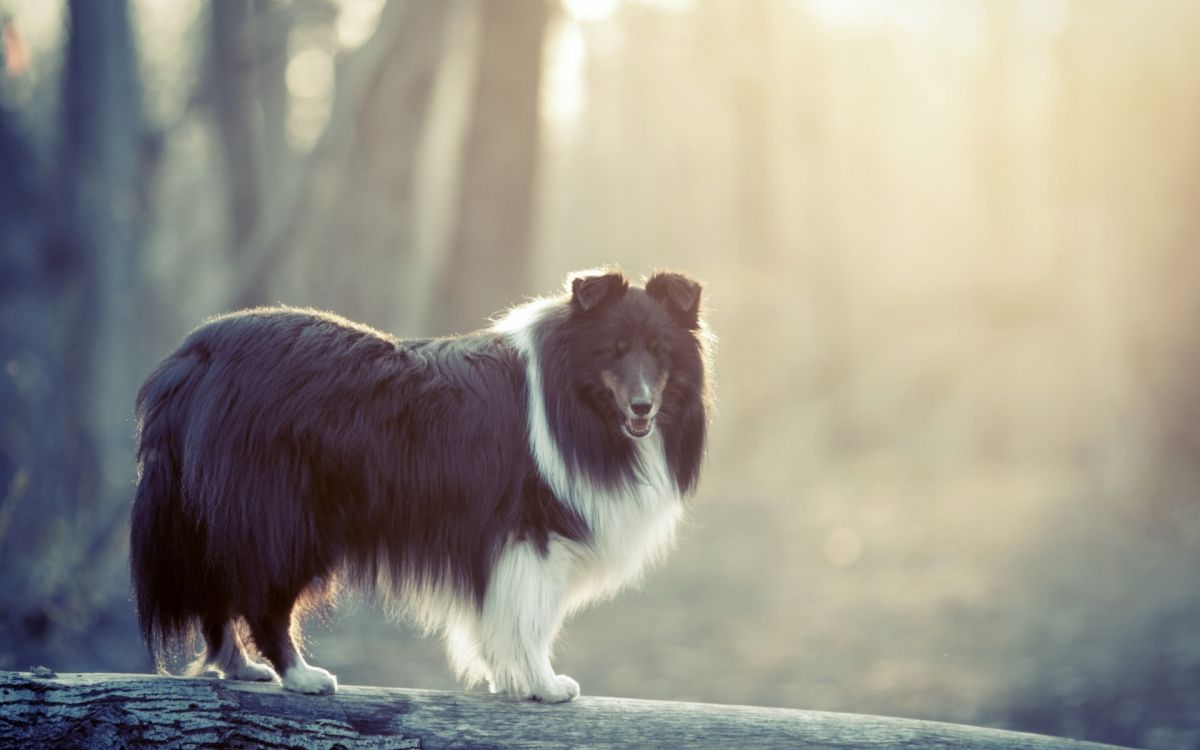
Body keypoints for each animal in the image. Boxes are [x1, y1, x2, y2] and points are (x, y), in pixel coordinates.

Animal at [129, 267, 710, 700]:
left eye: (660, 350)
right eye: (612, 349)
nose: (643, 406)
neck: (573, 394)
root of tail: (198, 354)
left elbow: (506, 617)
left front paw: (509, 679)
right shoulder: (533, 532)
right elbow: (531, 617)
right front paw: (541, 684)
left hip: (213, 519)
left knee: (217, 596)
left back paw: (240, 668)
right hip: (285, 518)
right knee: (262, 599)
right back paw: (301, 676)